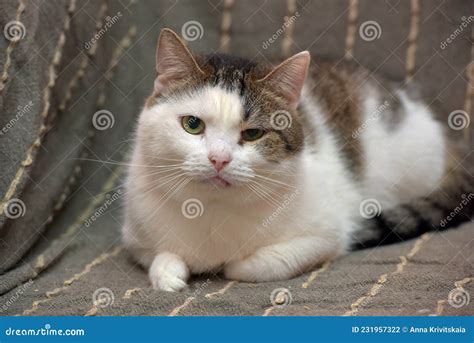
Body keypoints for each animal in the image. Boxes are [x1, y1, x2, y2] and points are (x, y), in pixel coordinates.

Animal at [123, 28, 474, 292]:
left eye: (253, 134)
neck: (213, 209)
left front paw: (230, 264)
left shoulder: (327, 235)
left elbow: (253, 265)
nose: (218, 159)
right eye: (193, 124)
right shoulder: (136, 239)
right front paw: (169, 273)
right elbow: (159, 256)